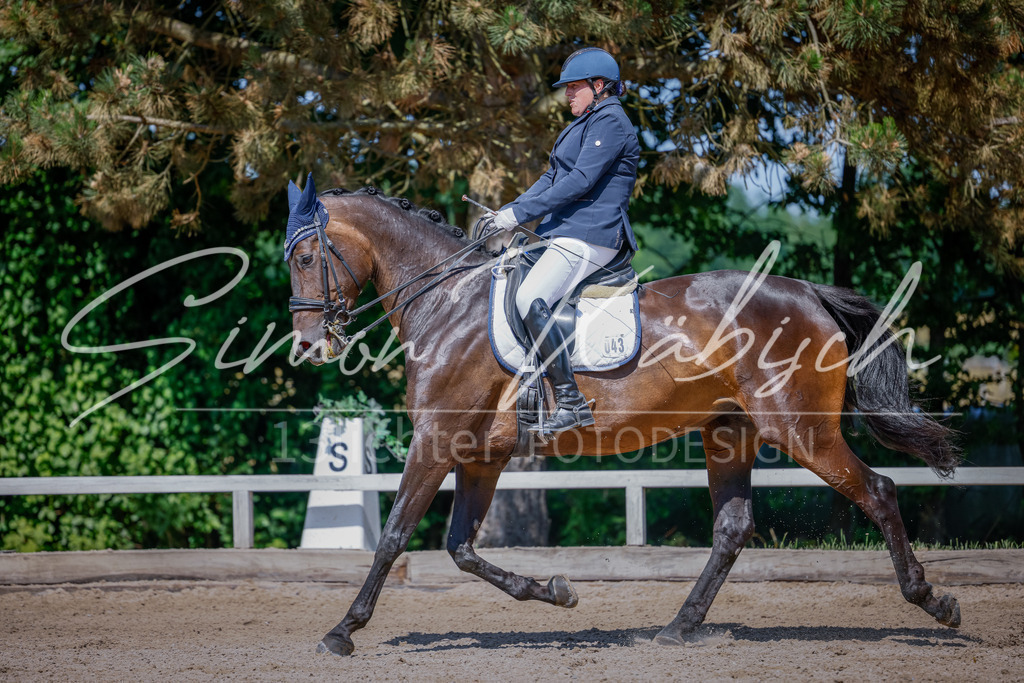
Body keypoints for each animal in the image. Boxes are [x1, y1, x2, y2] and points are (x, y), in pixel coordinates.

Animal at [284, 181, 962, 657]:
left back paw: (933, 601)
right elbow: (460, 549)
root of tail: (808, 292)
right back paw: (678, 626)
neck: (446, 304)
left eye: (308, 257)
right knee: (733, 527)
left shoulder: (435, 441)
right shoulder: (481, 455)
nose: (310, 346)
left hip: (801, 429)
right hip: (729, 432)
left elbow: (394, 536)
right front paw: (554, 591)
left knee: (877, 490)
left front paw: (343, 630)